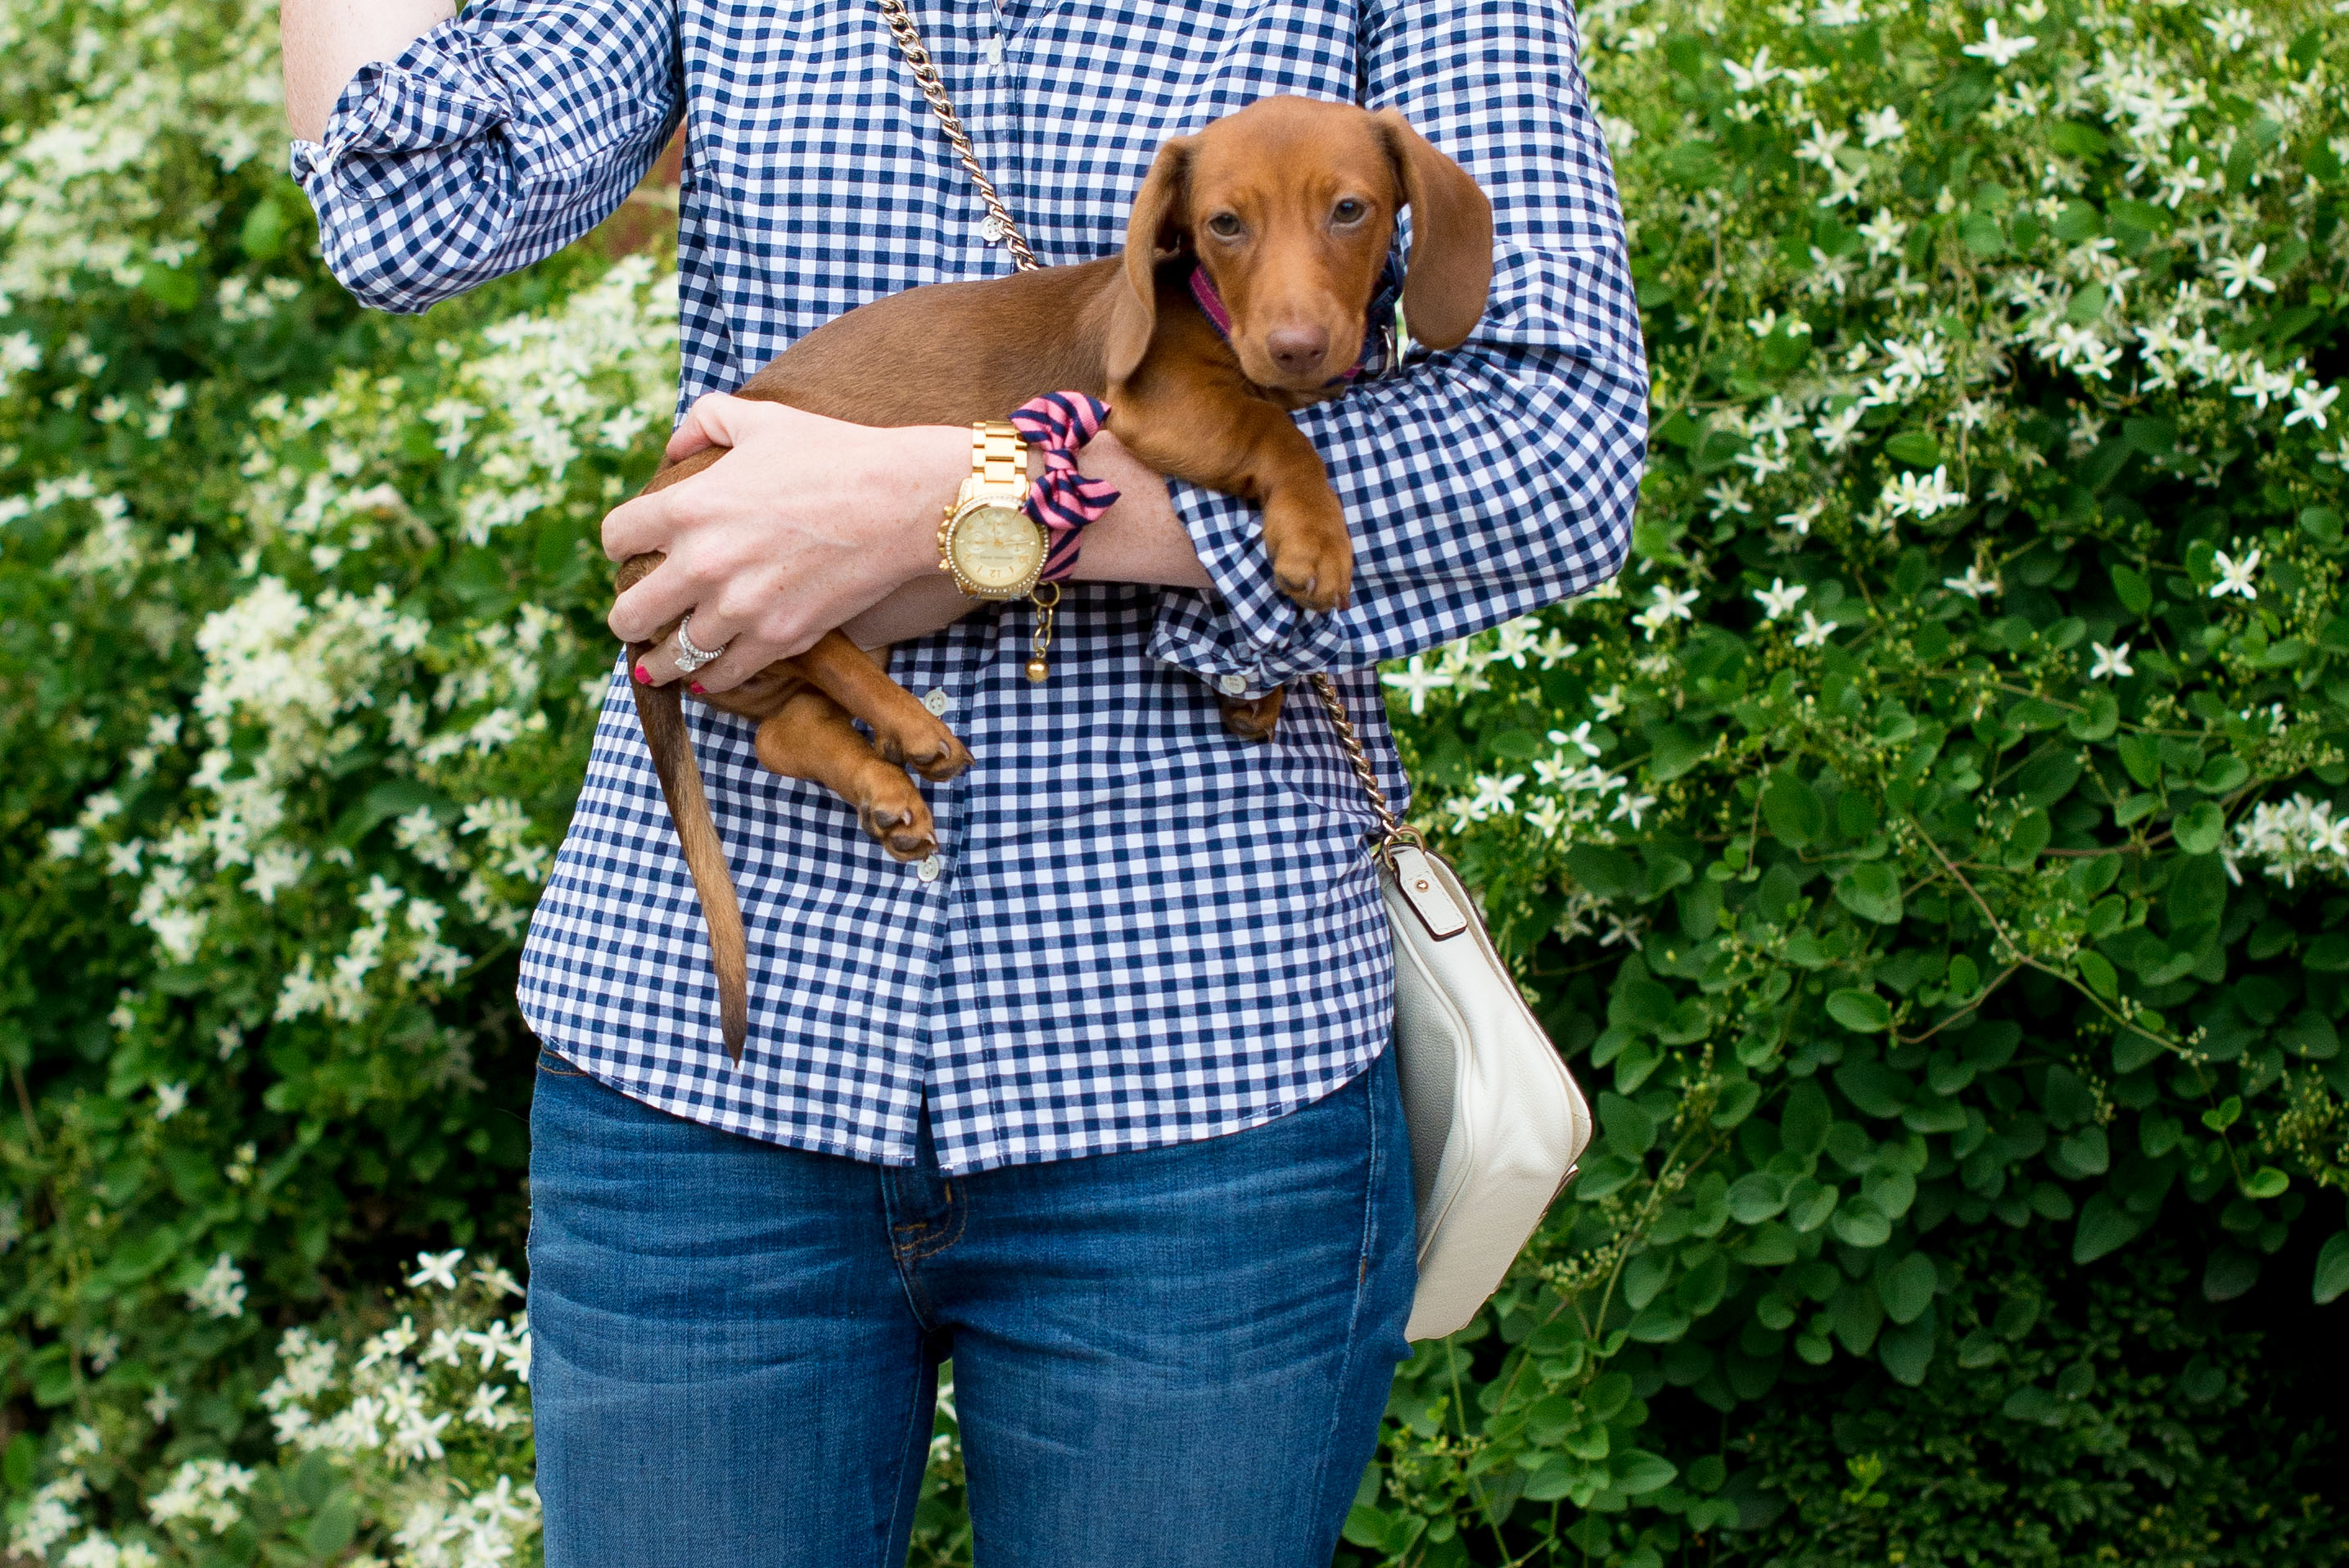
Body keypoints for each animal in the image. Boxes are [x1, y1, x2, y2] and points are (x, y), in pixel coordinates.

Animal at [610, 95, 1484, 1053]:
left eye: (1350, 210)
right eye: (1224, 223)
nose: (1295, 348)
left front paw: (1259, 686)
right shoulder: (1160, 403)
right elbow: (1275, 434)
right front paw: (1316, 538)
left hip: (820, 642)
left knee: (786, 725)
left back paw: (885, 788)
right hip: (753, 555)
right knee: (809, 644)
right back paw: (914, 729)